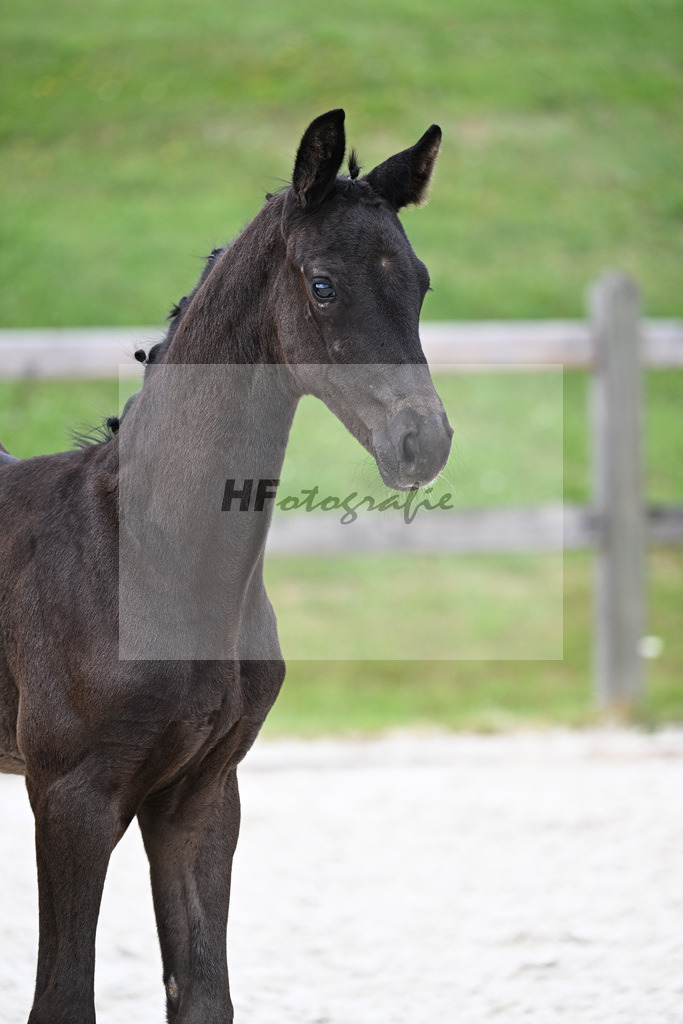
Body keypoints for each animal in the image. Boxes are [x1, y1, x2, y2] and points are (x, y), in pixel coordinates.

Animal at [0, 109, 452, 1023]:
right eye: (322, 284)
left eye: (420, 283)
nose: (422, 442)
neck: (149, 558)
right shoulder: (69, 797)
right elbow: (63, 999)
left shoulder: (201, 795)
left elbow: (204, 992)